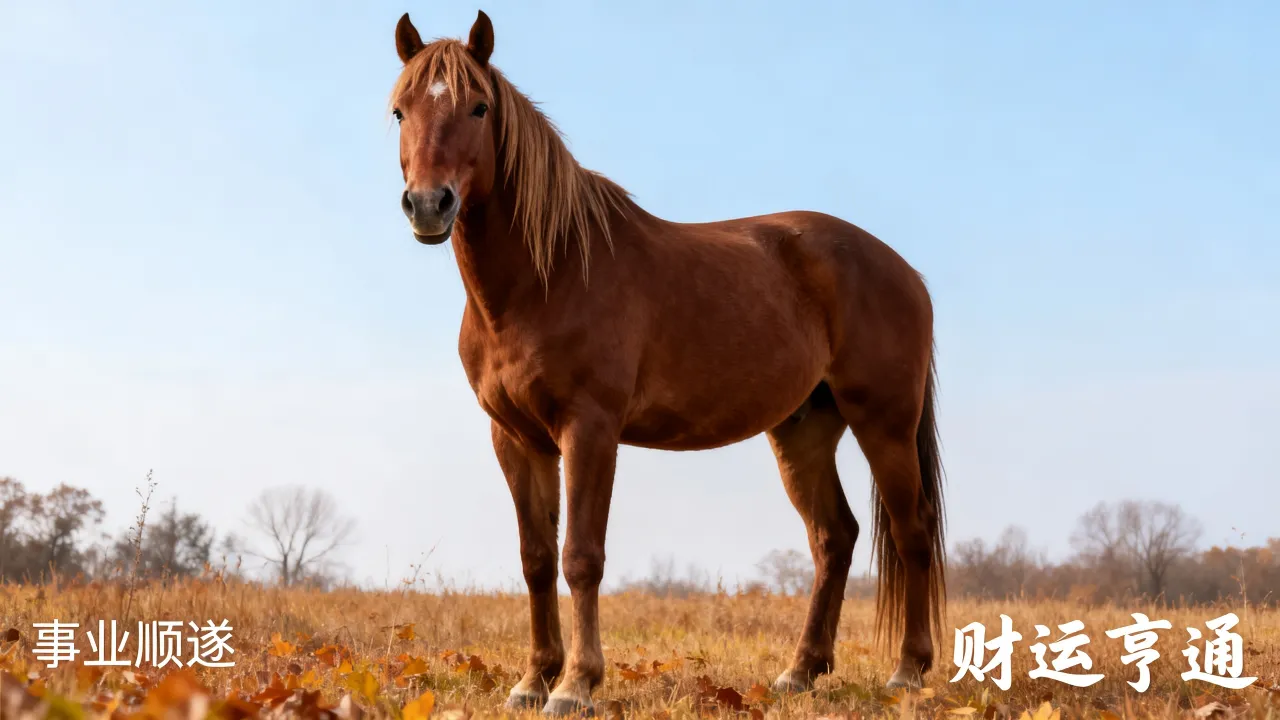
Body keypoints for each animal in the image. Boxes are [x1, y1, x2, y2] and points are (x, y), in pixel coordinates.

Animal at [387, 10, 946, 715]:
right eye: (400, 111)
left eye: (479, 108)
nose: (428, 205)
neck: (549, 274)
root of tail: (906, 271)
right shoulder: (516, 437)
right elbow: (536, 558)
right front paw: (533, 680)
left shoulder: (589, 430)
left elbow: (581, 556)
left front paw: (575, 685)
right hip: (804, 430)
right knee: (833, 537)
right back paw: (800, 672)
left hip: (885, 423)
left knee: (911, 530)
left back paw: (907, 671)